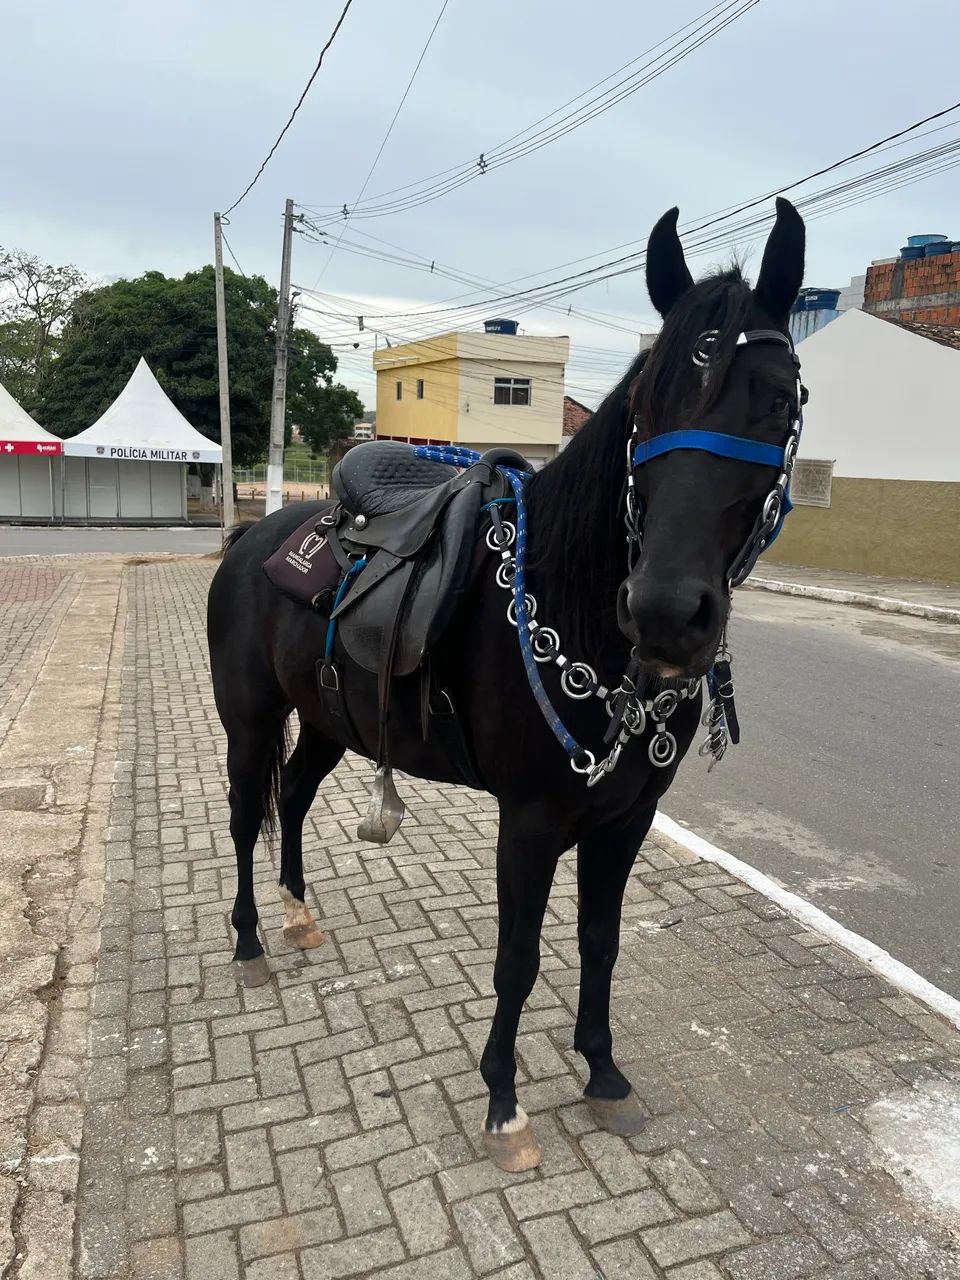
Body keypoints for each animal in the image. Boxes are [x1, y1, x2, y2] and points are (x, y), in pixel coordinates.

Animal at [206, 197, 806, 1171]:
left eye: (781, 396)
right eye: (645, 402)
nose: (668, 611)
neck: (572, 602)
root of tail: (252, 538)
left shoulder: (624, 821)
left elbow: (599, 945)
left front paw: (603, 1073)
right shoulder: (528, 823)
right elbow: (518, 960)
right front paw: (503, 1103)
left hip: (330, 723)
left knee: (290, 800)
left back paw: (298, 916)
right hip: (250, 721)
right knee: (241, 817)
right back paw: (254, 941)